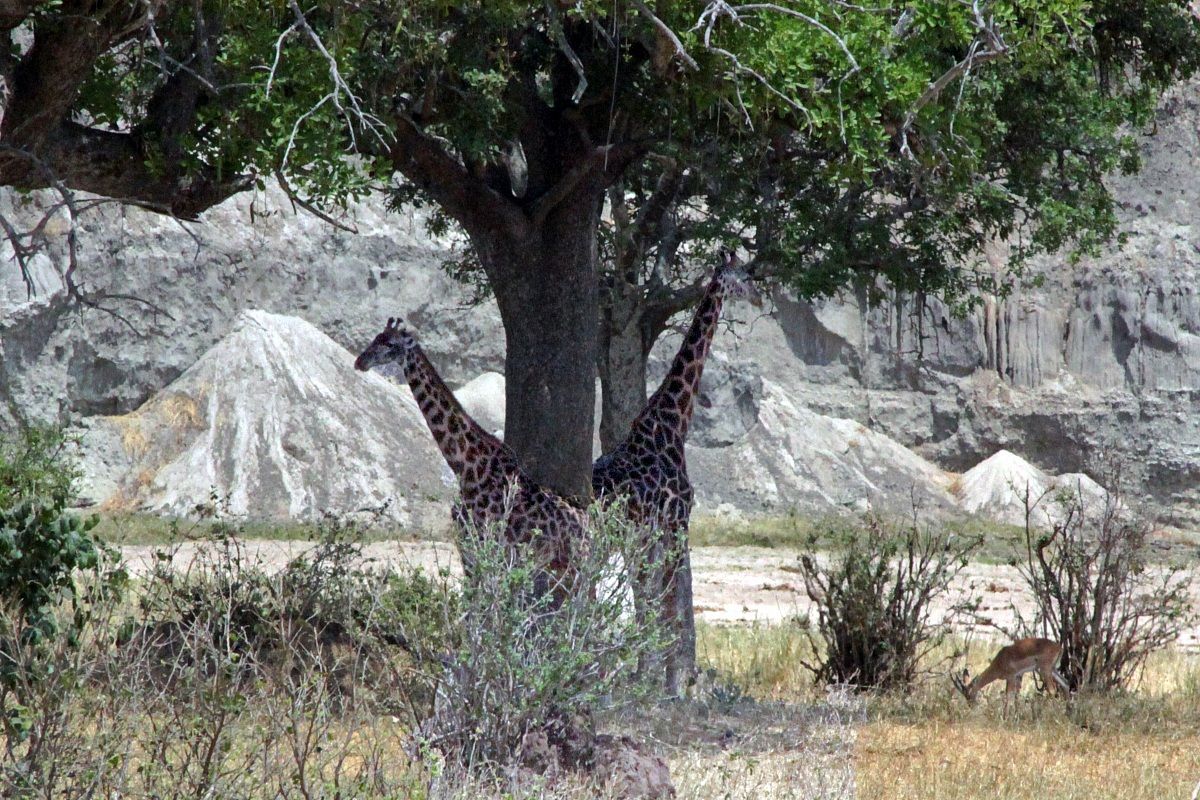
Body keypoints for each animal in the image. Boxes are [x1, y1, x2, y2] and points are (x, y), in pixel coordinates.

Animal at [354, 317, 586, 582]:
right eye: (376, 338)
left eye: (390, 344)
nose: (360, 361)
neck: (465, 467)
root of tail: (589, 528)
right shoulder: (467, 545)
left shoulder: (491, 544)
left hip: (571, 567)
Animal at [592, 252, 762, 694]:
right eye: (744, 274)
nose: (758, 297)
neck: (673, 422)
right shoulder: (676, 519)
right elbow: (671, 602)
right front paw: (670, 683)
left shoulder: (650, 530)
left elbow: (654, 601)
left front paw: (652, 677)